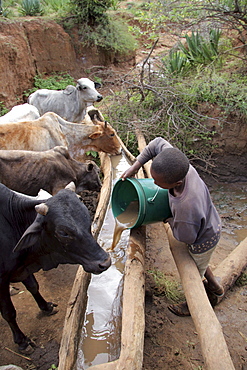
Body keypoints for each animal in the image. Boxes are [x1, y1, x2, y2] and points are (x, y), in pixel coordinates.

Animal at [0, 182, 111, 352]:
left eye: (87, 217)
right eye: (63, 232)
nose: (105, 262)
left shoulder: (23, 268)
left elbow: (34, 286)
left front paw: (46, 306)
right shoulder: (1, 280)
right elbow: (8, 312)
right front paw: (22, 341)